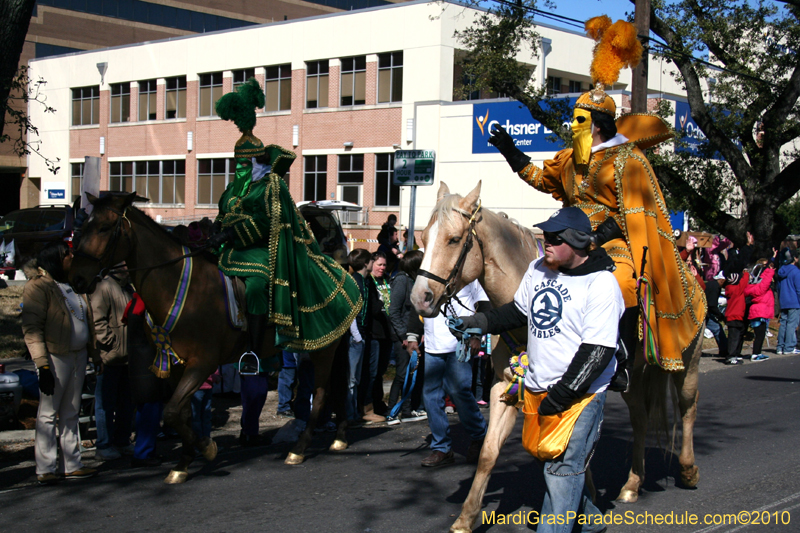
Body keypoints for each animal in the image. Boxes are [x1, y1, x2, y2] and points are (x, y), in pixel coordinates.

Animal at [70, 192, 352, 482]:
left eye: (104, 228)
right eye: (83, 228)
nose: (76, 278)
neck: (179, 286)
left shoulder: (202, 362)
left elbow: (172, 412)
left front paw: (206, 447)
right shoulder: (174, 363)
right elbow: (179, 413)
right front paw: (183, 463)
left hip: (323, 348)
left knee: (322, 393)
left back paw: (299, 448)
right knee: (337, 388)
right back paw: (339, 437)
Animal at [410, 181, 704, 528]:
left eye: (454, 239)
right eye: (423, 238)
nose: (419, 298)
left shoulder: (568, 391)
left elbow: (569, 452)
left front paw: (582, 500)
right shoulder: (504, 387)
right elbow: (489, 453)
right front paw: (466, 518)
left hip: (687, 362)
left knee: (688, 407)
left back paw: (688, 469)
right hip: (633, 376)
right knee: (640, 418)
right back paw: (632, 484)